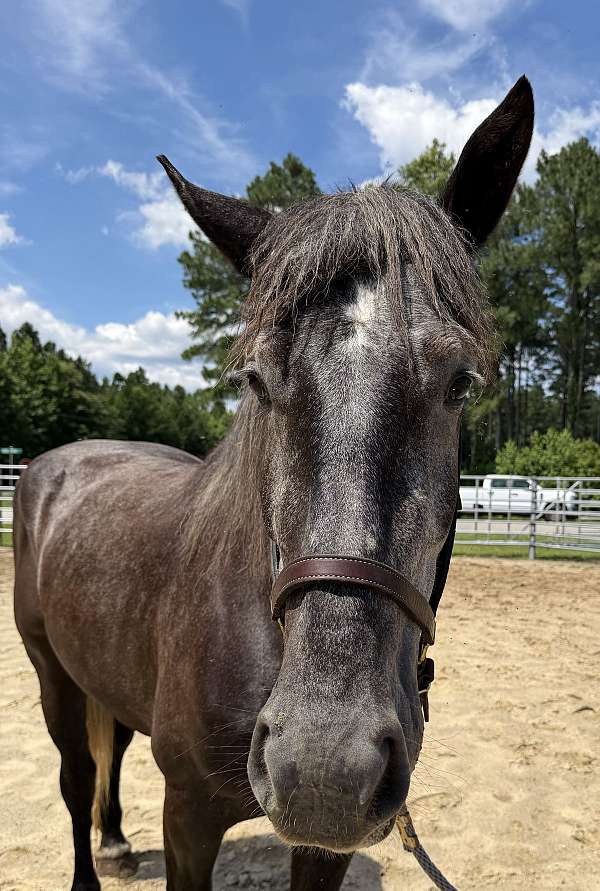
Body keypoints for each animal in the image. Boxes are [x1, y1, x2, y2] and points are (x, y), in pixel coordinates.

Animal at [13, 76, 533, 891]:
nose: (323, 767)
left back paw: (117, 839)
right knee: (73, 778)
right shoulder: (189, 815)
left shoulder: (323, 845)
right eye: (255, 378)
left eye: (460, 382)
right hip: (52, 675)